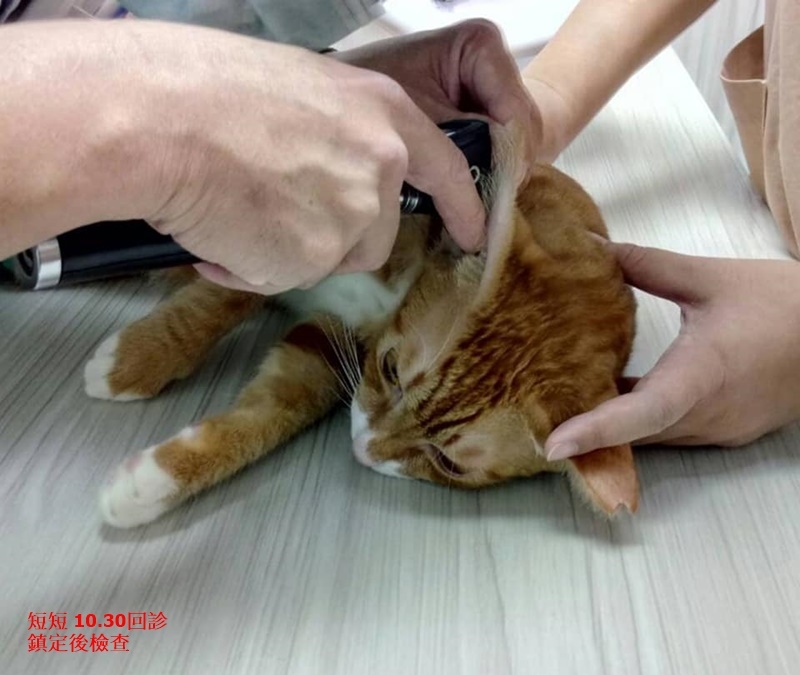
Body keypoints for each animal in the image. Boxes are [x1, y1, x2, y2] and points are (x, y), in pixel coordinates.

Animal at [84, 133, 637, 528]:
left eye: (448, 464)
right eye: (391, 370)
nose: (362, 448)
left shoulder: (324, 347)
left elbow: (273, 411)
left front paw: (154, 482)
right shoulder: (278, 238)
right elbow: (216, 302)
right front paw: (134, 360)